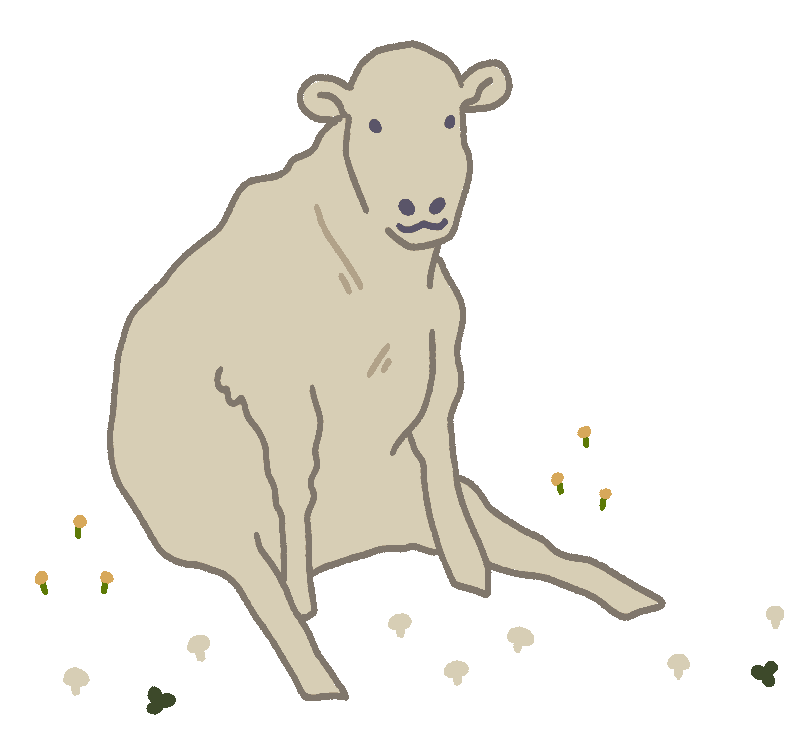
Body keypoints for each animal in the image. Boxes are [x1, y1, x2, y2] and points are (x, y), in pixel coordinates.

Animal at [108, 41, 664, 701]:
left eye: (451, 119)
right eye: (371, 124)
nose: (422, 206)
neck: (387, 276)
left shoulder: (440, 371)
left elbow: (441, 469)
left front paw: (471, 578)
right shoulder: (277, 386)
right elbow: (294, 484)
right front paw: (303, 594)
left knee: (534, 550)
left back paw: (627, 596)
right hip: (227, 525)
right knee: (269, 594)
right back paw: (316, 667)